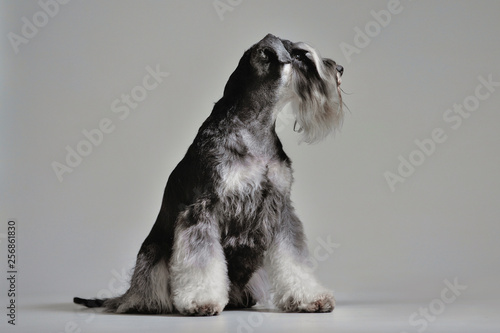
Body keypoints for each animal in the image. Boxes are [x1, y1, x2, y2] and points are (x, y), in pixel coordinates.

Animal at [74, 34, 344, 316]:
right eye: (300, 56)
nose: (339, 69)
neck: (255, 127)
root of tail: (126, 294)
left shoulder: (280, 208)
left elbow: (293, 258)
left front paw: (310, 297)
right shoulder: (202, 208)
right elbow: (202, 260)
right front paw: (201, 300)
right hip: (153, 256)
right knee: (147, 290)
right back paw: (146, 303)